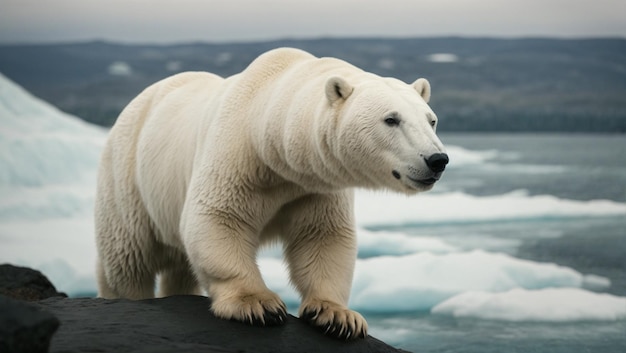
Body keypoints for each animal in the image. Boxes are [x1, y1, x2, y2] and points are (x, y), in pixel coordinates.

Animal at [94, 46, 448, 338]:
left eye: (431, 120)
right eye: (391, 119)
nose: (437, 159)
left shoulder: (316, 186)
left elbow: (324, 237)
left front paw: (338, 316)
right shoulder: (237, 158)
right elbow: (218, 218)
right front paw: (258, 305)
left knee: (179, 266)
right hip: (127, 179)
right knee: (126, 262)